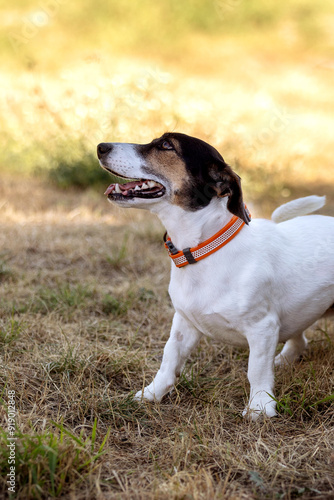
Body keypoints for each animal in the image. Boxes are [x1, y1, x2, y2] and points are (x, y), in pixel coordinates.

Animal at [96, 132, 334, 418]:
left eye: (166, 145)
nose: (100, 146)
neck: (204, 251)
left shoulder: (263, 328)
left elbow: (256, 369)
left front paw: (260, 407)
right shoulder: (183, 323)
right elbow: (169, 359)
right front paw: (152, 394)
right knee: (299, 340)